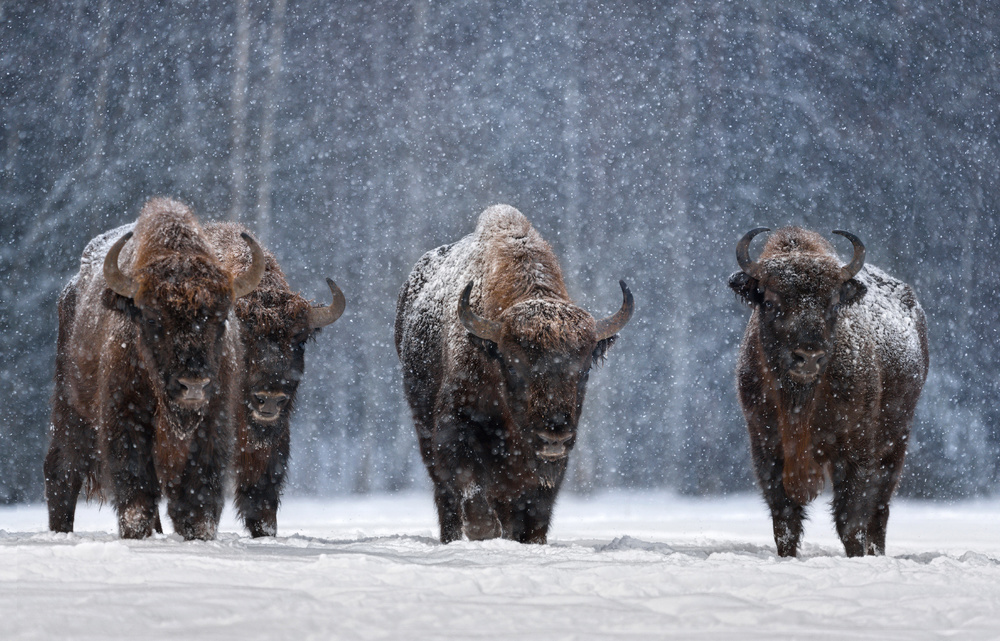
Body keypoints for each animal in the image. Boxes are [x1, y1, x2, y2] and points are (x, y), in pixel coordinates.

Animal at [44, 196, 264, 540]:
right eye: (151, 318)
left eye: (220, 318)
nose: (193, 385)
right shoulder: (127, 418)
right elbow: (136, 490)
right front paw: (137, 533)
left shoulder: (213, 420)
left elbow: (198, 494)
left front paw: (197, 534)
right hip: (71, 408)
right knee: (63, 471)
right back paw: (61, 532)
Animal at [392, 204, 632, 540]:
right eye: (514, 364)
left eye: (583, 369)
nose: (553, 436)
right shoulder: (455, 428)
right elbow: (469, 487)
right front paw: (483, 529)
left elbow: (534, 514)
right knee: (447, 498)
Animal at [728, 226, 928, 556]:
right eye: (769, 302)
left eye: (833, 304)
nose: (808, 356)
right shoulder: (766, 447)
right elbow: (785, 520)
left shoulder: (855, 450)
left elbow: (850, 519)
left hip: (895, 440)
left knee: (879, 509)